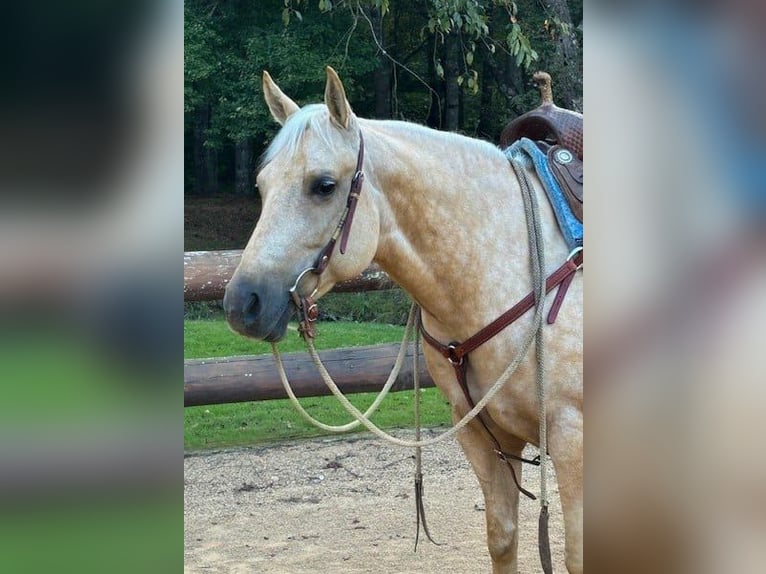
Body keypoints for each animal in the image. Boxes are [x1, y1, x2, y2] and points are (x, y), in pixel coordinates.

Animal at [223, 67, 583, 574]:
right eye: (262, 184)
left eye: (323, 185)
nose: (244, 303)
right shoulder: (484, 435)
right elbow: (502, 537)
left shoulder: (574, 441)